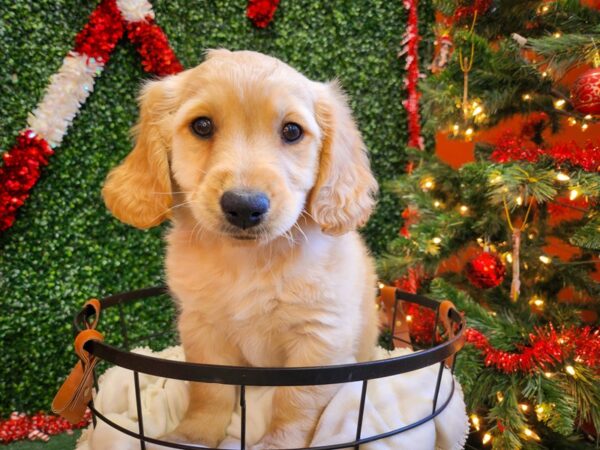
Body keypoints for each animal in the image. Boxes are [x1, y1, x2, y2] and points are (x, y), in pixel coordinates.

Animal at [101, 51, 378, 448]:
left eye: (292, 131)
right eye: (202, 126)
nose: (244, 206)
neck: (249, 260)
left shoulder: (321, 337)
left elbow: (295, 403)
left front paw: (280, 443)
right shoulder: (202, 330)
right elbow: (210, 392)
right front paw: (195, 434)